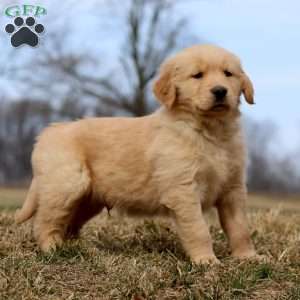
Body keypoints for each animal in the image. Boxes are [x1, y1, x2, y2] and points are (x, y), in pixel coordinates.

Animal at [15, 44, 258, 262]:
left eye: (228, 74)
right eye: (197, 75)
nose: (220, 91)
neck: (210, 131)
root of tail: (47, 132)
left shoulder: (233, 188)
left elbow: (240, 227)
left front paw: (248, 257)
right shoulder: (183, 190)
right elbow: (199, 229)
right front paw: (206, 261)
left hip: (87, 199)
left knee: (70, 222)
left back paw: (78, 248)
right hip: (66, 185)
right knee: (46, 221)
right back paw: (53, 249)